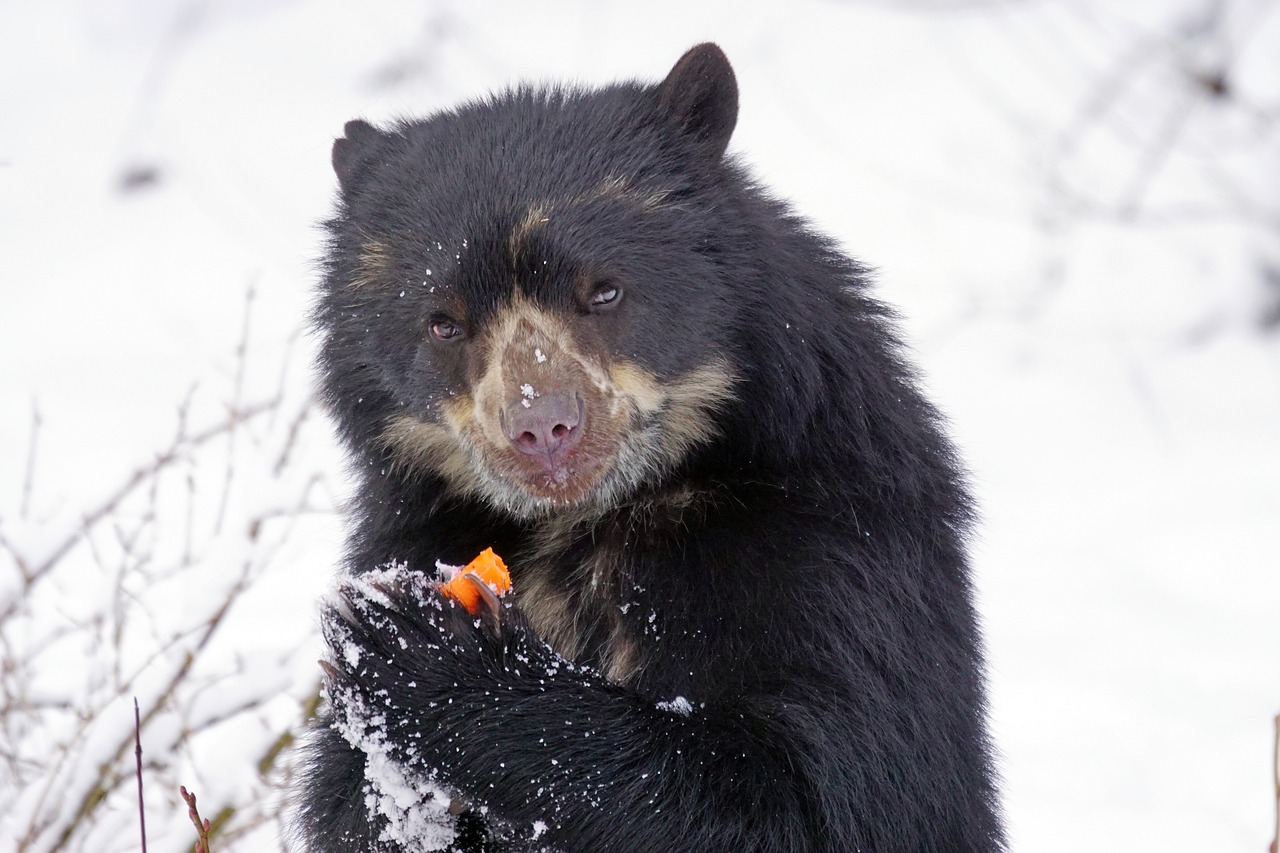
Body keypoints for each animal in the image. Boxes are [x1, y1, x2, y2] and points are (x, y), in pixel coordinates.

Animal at [294, 41, 1003, 850]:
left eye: (604, 290)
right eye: (443, 322)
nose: (544, 429)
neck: (598, 517)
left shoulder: (831, 548)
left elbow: (822, 792)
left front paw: (421, 650)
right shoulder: (416, 526)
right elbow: (341, 806)